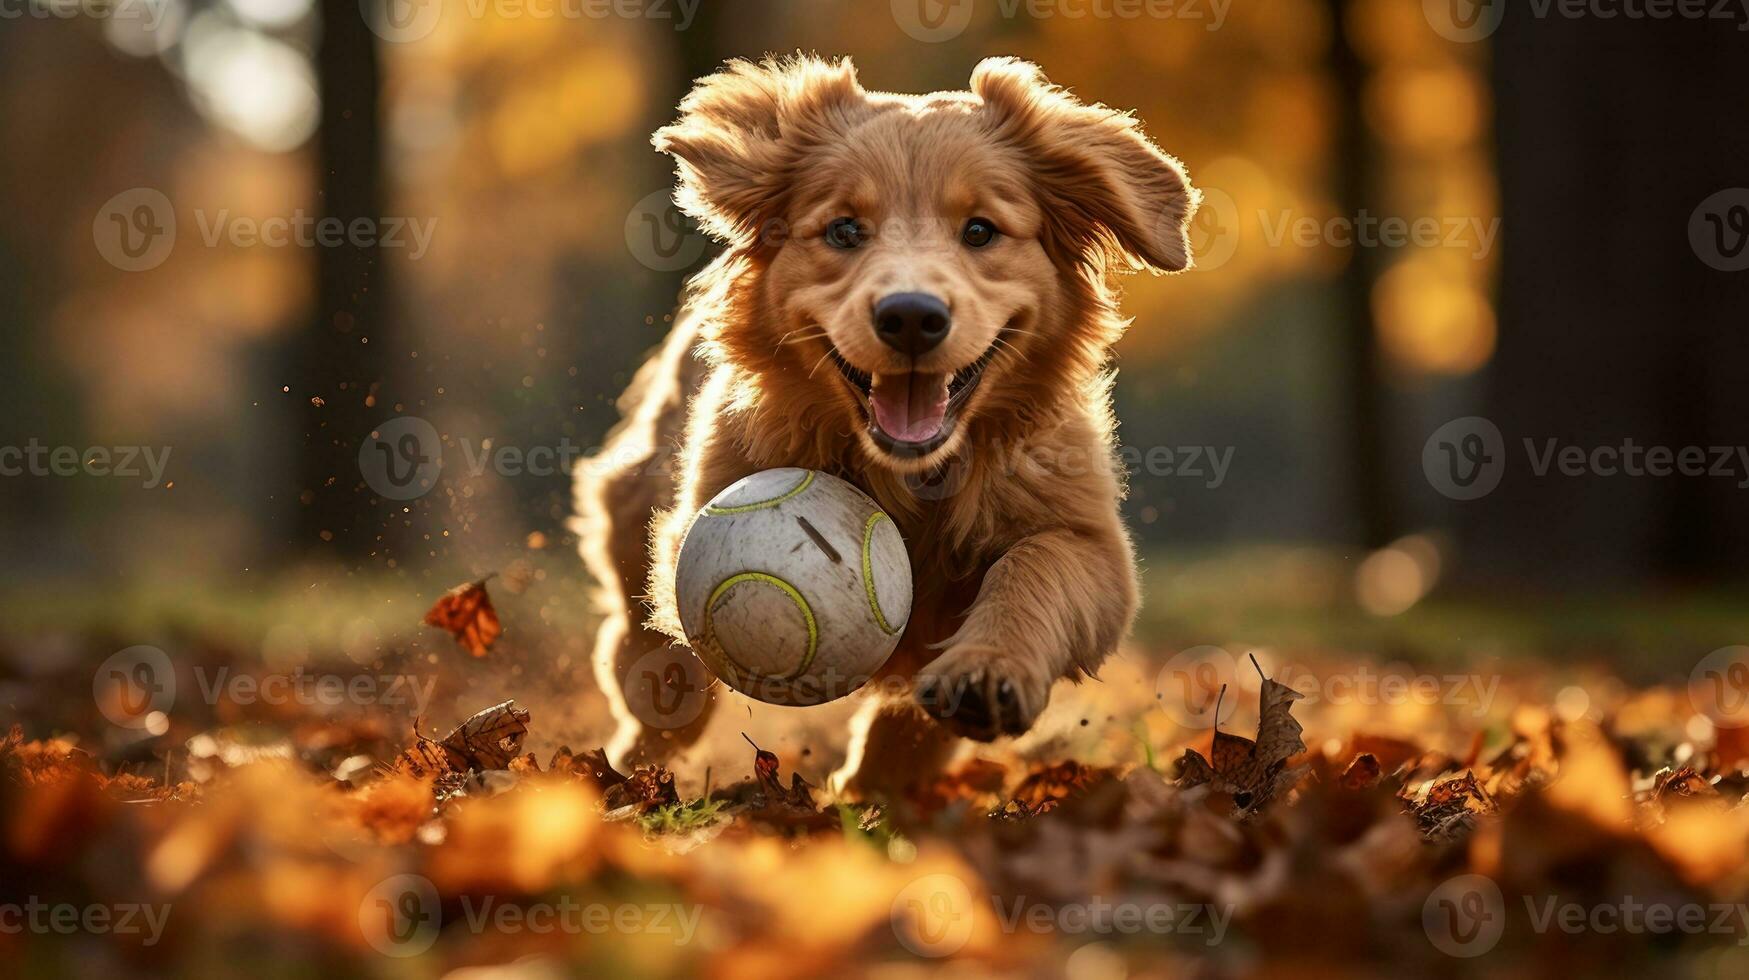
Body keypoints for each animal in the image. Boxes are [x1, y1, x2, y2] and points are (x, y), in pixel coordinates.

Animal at [580, 53, 1196, 791]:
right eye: (844, 230)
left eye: (980, 230)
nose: (910, 315)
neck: (917, 477)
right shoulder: (706, 499)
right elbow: (684, 611)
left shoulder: (1087, 540)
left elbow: (1034, 567)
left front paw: (985, 671)